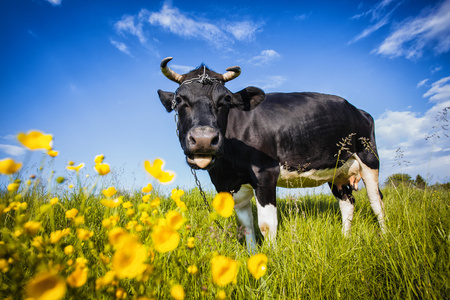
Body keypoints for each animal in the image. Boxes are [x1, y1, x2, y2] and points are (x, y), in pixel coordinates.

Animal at [156, 57, 384, 252]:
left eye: (226, 99)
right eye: (179, 100)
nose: (204, 139)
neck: (226, 169)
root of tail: (358, 110)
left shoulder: (265, 173)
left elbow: (266, 224)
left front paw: (270, 259)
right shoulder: (232, 185)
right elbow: (246, 226)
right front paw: (253, 257)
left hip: (369, 157)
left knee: (377, 201)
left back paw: (386, 237)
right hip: (337, 171)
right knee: (347, 202)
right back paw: (346, 238)